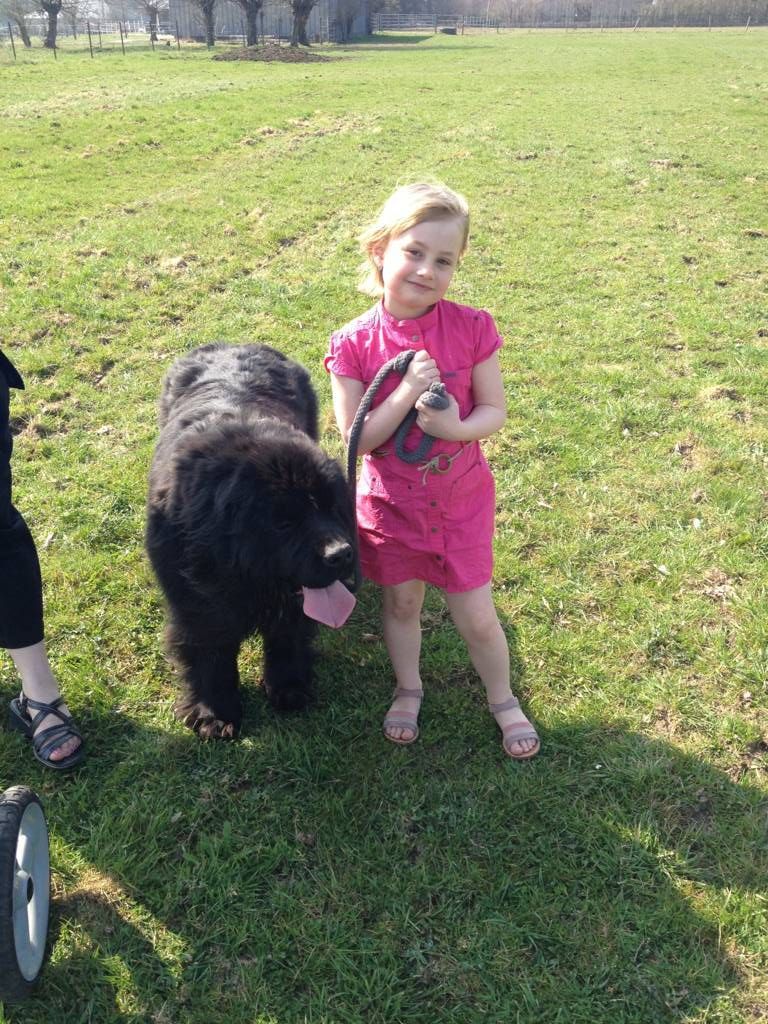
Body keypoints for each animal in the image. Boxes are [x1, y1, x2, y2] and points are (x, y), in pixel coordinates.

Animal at [146, 343, 356, 739]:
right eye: (283, 523)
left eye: (332, 507)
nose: (342, 554)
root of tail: (230, 344)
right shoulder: (194, 602)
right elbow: (209, 652)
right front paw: (214, 712)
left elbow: (289, 635)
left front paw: (289, 687)